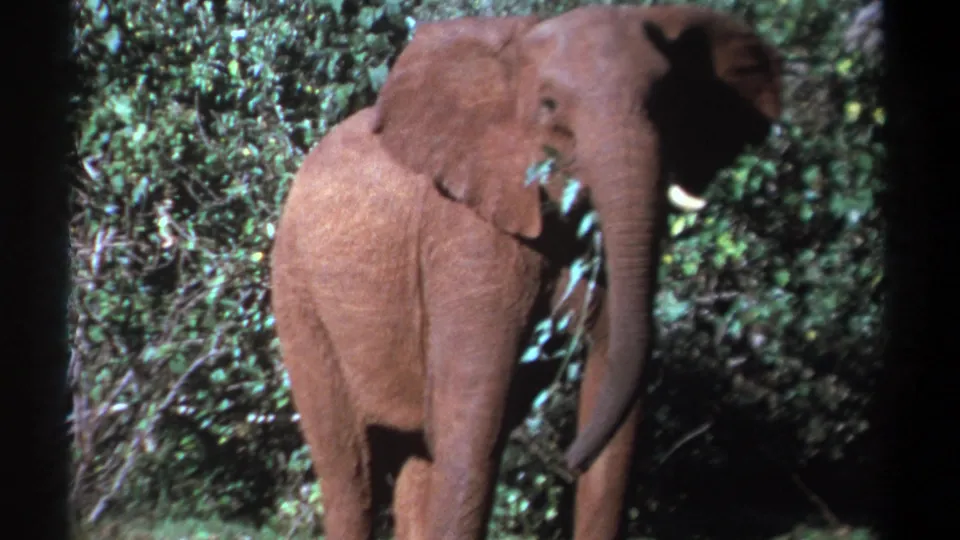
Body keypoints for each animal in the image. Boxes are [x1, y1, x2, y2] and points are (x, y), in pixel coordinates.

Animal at [270, 4, 782, 539]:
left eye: (668, 100)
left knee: (416, 458)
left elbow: (616, 396)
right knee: (351, 470)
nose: (569, 461)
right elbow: (475, 417)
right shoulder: (467, 232)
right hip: (297, 295)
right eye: (550, 105)